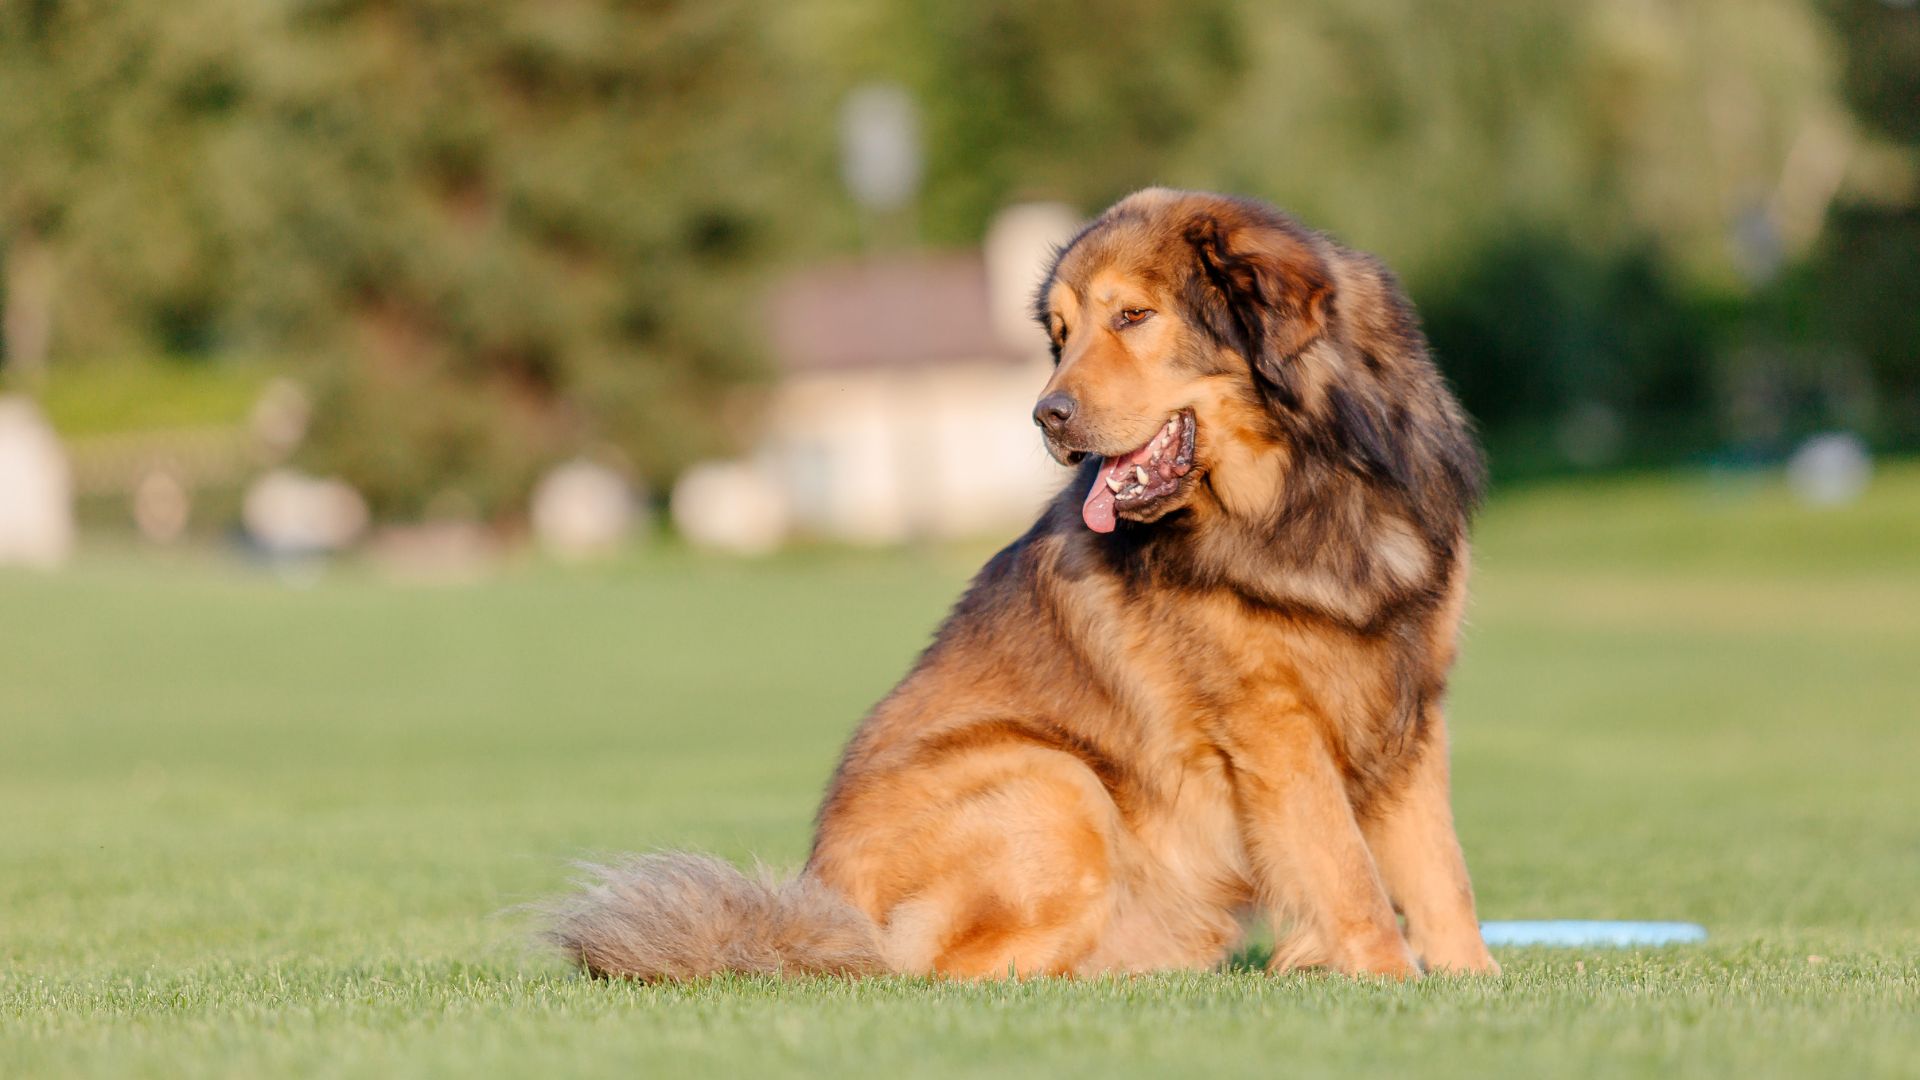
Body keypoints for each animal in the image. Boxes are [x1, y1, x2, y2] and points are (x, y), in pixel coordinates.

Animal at [545, 189, 1497, 980]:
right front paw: (1389, 980)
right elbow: (1351, 874)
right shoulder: (1273, 726)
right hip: (1056, 781)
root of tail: (823, 907)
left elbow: (1438, 872)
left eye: (1134, 315)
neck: (1315, 485)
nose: (1046, 415)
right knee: (934, 970)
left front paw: (1471, 981)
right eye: (1062, 336)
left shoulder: (1412, 710)